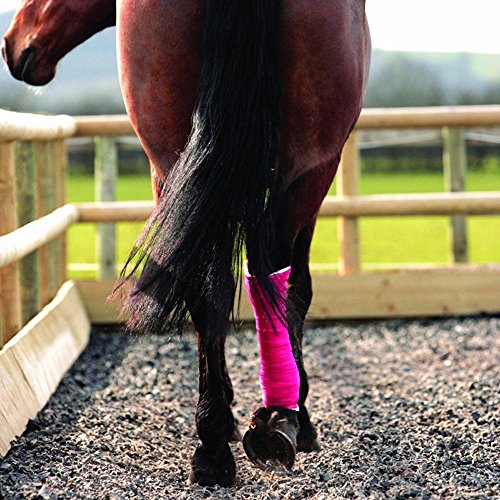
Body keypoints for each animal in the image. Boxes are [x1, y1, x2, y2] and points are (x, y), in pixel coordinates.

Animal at [3, 0, 371, 487]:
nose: (13, 42)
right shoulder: (314, 176)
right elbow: (298, 288)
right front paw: (299, 415)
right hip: (303, 173)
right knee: (270, 275)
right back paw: (276, 421)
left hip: (170, 163)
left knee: (207, 286)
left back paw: (215, 444)